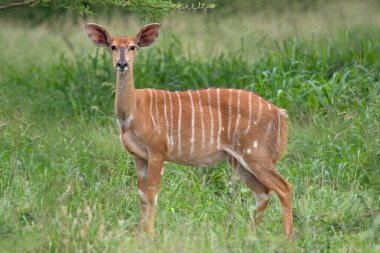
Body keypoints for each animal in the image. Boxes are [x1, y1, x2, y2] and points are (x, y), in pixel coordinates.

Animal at [85, 23, 294, 239]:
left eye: (133, 46)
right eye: (112, 46)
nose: (122, 64)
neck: (132, 111)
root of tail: (277, 112)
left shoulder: (158, 152)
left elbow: (152, 194)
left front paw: (150, 236)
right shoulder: (140, 156)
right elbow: (142, 195)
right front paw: (141, 235)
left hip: (255, 153)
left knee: (284, 187)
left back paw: (287, 238)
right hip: (238, 160)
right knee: (263, 192)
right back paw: (246, 236)